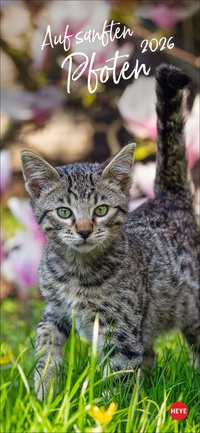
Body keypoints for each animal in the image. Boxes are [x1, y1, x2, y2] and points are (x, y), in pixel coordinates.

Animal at [21, 63, 199, 398]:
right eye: (64, 212)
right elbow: (45, 341)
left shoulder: (120, 327)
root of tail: (168, 199)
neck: (76, 271)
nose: (84, 230)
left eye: (101, 210)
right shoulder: (55, 308)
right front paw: (43, 391)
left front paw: (108, 407)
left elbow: (119, 372)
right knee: (150, 354)